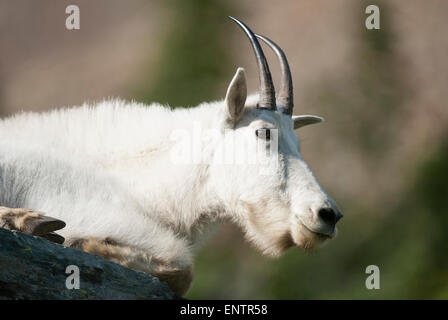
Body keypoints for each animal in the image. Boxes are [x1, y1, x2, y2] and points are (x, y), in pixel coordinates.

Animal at [0, 17, 344, 296]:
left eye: (298, 142)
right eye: (264, 133)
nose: (328, 214)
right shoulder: (95, 210)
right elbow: (183, 269)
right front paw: (84, 243)